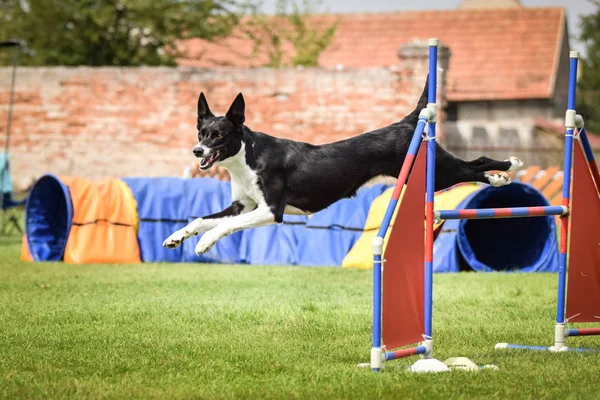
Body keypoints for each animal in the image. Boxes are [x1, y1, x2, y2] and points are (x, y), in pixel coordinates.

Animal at [163, 77, 520, 253]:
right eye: (201, 132)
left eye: (219, 136)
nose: (196, 150)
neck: (246, 159)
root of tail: (407, 122)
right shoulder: (242, 206)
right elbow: (202, 219)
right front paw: (177, 237)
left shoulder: (270, 211)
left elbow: (224, 226)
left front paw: (205, 243)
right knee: (472, 167)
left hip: (440, 173)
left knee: (475, 165)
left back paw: (506, 170)